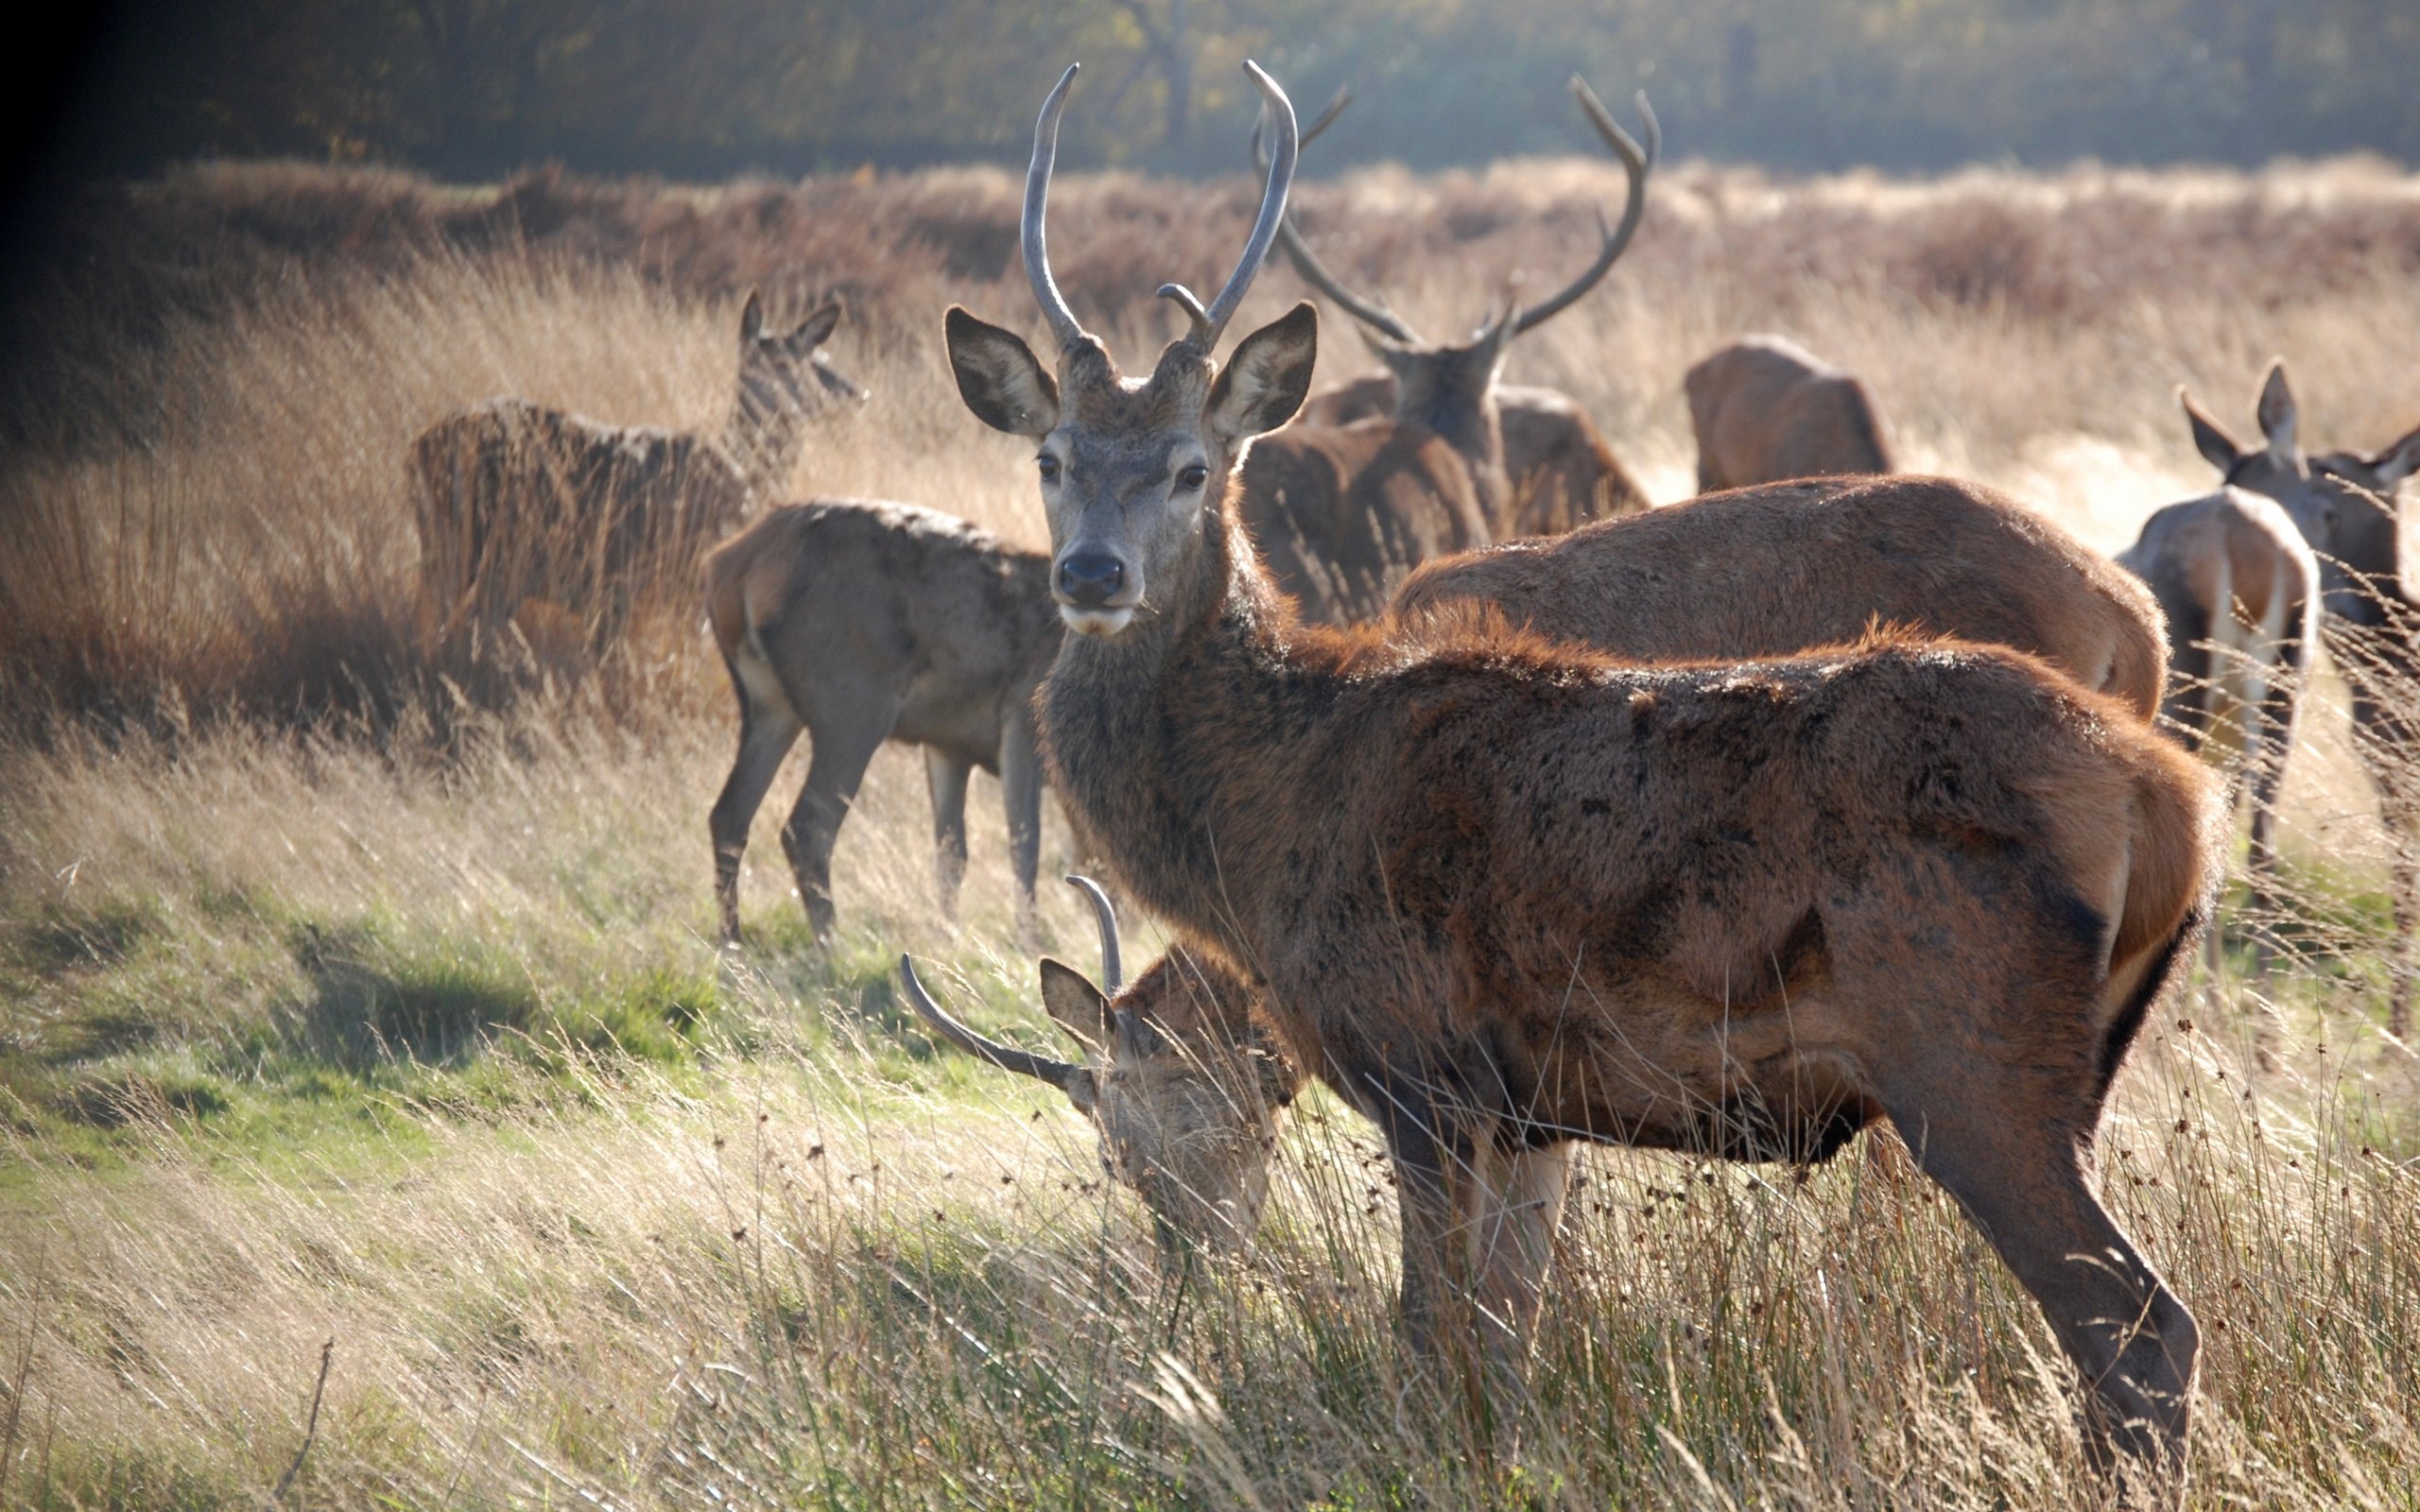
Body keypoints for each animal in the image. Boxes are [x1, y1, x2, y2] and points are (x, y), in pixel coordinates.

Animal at [411, 291, 866, 653]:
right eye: (782, 363)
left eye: (821, 356)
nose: (857, 393)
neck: (742, 470)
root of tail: (420, 446)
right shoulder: (679, 583)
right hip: (500, 553)